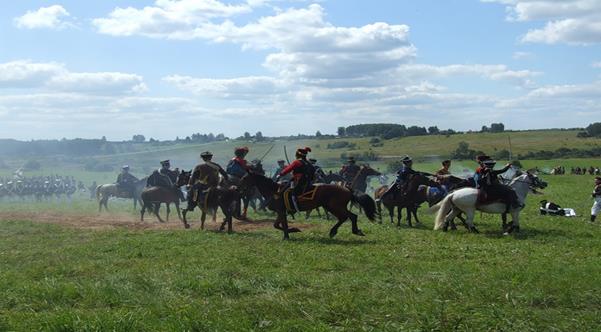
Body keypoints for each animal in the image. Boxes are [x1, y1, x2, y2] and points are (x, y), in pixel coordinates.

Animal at [240, 172, 376, 240]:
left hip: (334, 207)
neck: (273, 190)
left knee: (349, 217)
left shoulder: (281, 211)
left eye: (245, 178)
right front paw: (293, 231)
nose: (239, 187)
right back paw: (347, 231)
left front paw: (287, 236)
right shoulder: (281, 212)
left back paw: (340, 231)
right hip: (333, 207)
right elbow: (278, 225)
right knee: (349, 217)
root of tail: (347, 189)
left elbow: (282, 225)